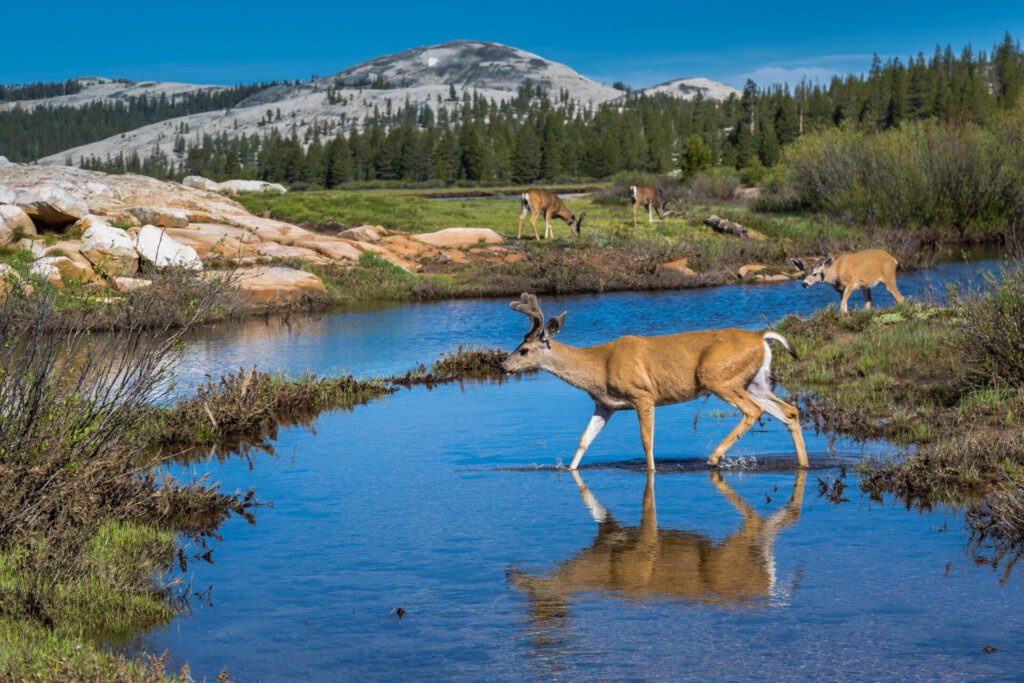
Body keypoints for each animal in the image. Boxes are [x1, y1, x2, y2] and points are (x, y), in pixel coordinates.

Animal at [497, 290, 806, 473]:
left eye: (524, 350)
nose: (503, 366)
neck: (599, 367)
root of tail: (761, 338)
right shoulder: (604, 405)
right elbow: (585, 439)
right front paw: (569, 469)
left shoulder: (642, 395)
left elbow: (647, 440)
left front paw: (652, 470)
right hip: (755, 381)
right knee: (789, 410)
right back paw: (803, 463)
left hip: (718, 377)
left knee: (754, 410)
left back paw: (714, 457)